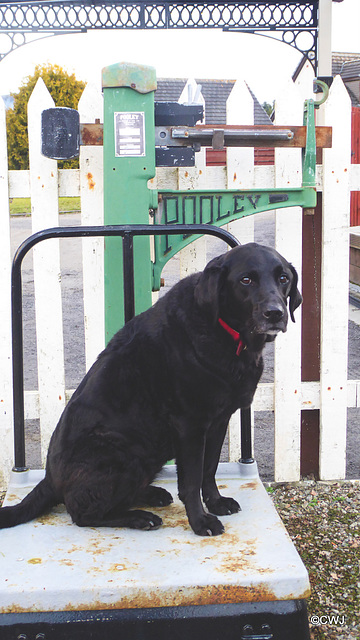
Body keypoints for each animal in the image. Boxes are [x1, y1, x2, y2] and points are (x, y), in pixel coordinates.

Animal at [0, 242, 300, 536]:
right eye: (246, 280)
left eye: (283, 278)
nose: (275, 313)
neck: (226, 333)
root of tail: (50, 480)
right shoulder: (190, 426)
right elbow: (191, 481)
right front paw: (200, 522)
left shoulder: (218, 421)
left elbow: (209, 469)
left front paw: (216, 503)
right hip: (123, 452)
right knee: (82, 515)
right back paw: (139, 518)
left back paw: (152, 495)